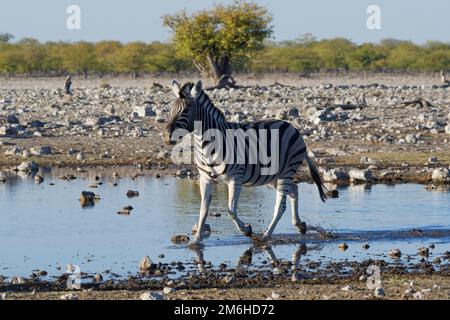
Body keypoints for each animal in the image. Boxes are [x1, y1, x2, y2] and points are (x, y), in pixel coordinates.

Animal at [163, 80, 326, 248]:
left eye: (186, 109)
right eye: (170, 109)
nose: (167, 136)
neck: (206, 145)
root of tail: (292, 127)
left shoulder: (235, 178)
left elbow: (230, 210)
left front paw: (247, 230)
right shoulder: (205, 179)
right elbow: (203, 210)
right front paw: (196, 241)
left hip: (286, 171)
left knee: (280, 206)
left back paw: (265, 237)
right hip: (273, 176)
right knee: (294, 189)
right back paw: (300, 225)